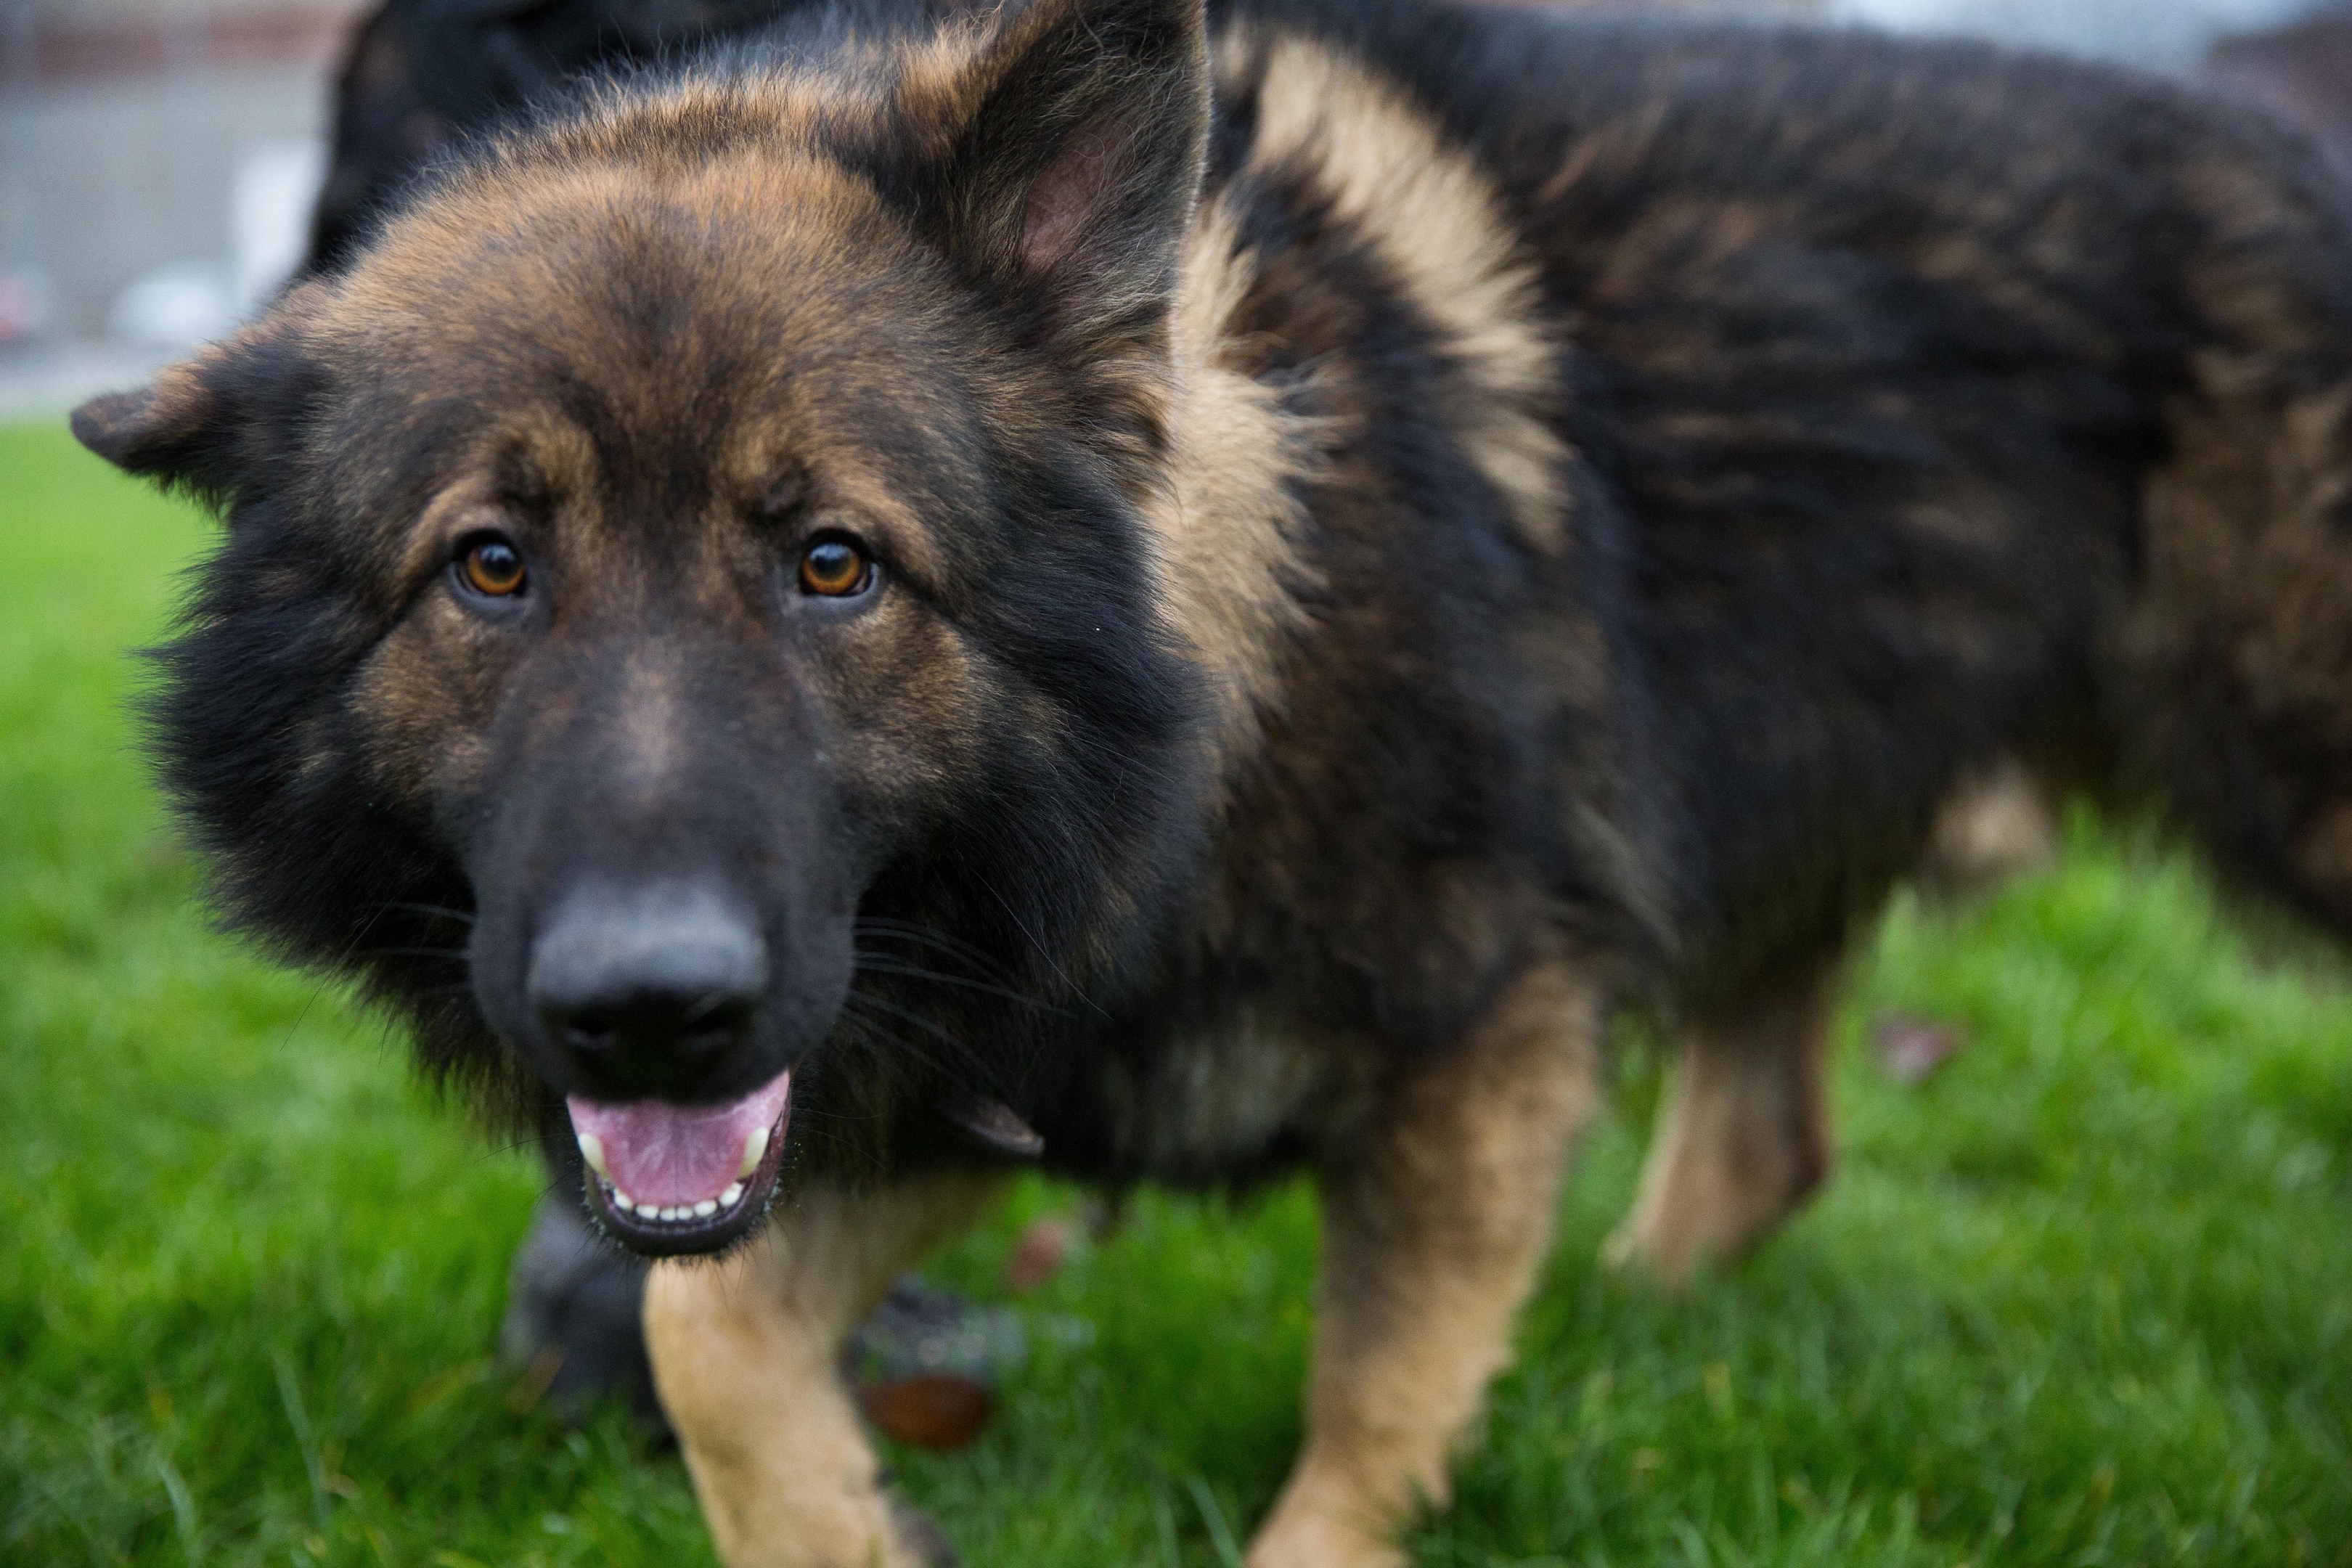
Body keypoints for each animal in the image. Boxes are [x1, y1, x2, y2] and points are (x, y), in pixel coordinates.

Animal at [64, 0, 2352, 1561]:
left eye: (834, 564)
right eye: (489, 567)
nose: (646, 1008)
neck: (1179, 738)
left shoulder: (1465, 1051)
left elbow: (1359, 1440)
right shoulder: (974, 1054)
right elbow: (706, 1339)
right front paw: (846, 1522)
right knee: (1768, 1142)